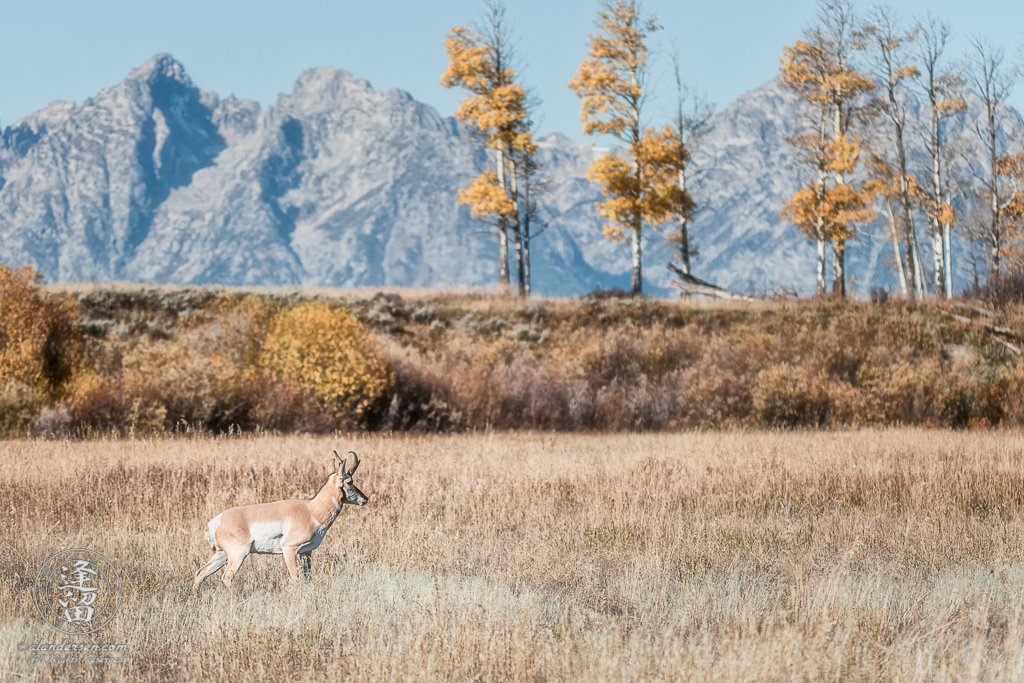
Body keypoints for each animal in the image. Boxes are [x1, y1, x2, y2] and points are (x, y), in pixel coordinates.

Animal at [192, 450, 368, 589]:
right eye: (350, 482)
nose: (365, 498)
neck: (311, 510)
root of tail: (215, 522)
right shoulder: (289, 549)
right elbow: (295, 578)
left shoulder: (306, 552)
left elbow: (308, 578)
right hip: (238, 554)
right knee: (226, 578)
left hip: (221, 555)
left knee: (200, 573)